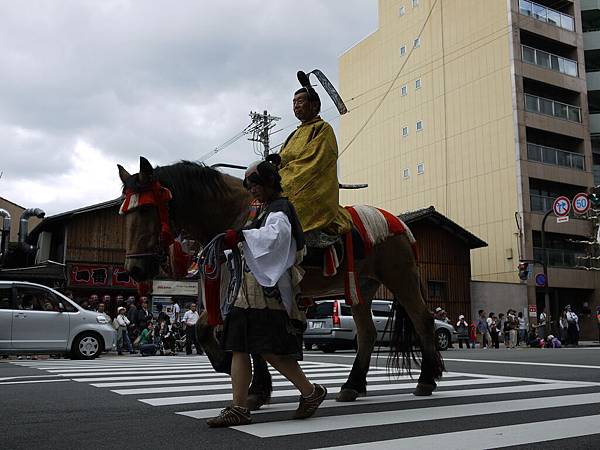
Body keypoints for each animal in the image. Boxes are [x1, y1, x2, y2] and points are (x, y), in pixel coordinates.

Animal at [118, 156, 446, 406]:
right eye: (126, 214)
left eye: (146, 209)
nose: (135, 269)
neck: (233, 217)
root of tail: (401, 224)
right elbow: (224, 334)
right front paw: (255, 387)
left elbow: (221, 333)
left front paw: (236, 372)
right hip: (361, 287)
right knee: (367, 334)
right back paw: (353, 386)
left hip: (400, 276)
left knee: (422, 320)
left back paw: (426, 380)